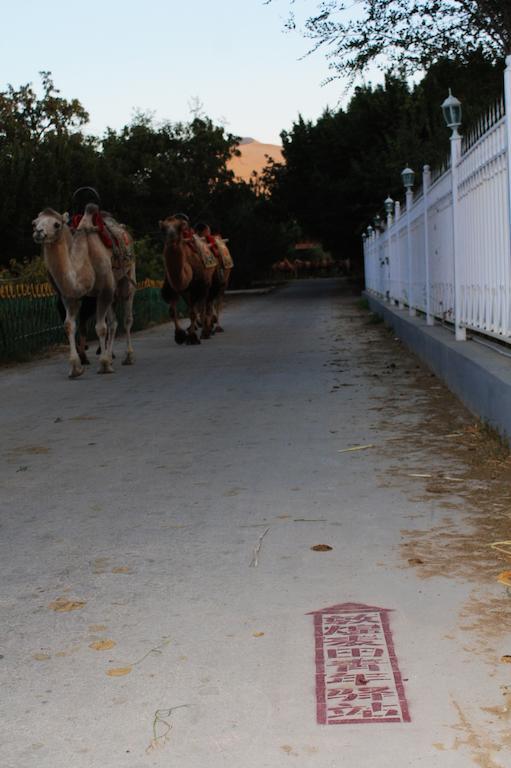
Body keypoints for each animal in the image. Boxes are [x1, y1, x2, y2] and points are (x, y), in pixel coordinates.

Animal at [31, 206, 136, 376]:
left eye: (56, 224)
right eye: (34, 223)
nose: (39, 232)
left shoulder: (104, 291)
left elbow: (100, 328)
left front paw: (104, 365)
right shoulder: (70, 297)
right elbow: (69, 325)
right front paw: (75, 367)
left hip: (127, 277)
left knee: (126, 318)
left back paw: (128, 357)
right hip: (111, 291)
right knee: (113, 323)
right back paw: (110, 356)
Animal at [160, 214, 216, 344]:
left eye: (179, 227)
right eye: (163, 229)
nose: (171, 236)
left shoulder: (197, 287)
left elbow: (193, 312)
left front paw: (192, 338)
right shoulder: (173, 287)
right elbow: (172, 311)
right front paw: (179, 335)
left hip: (206, 284)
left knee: (204, 305)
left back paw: (206, 331)